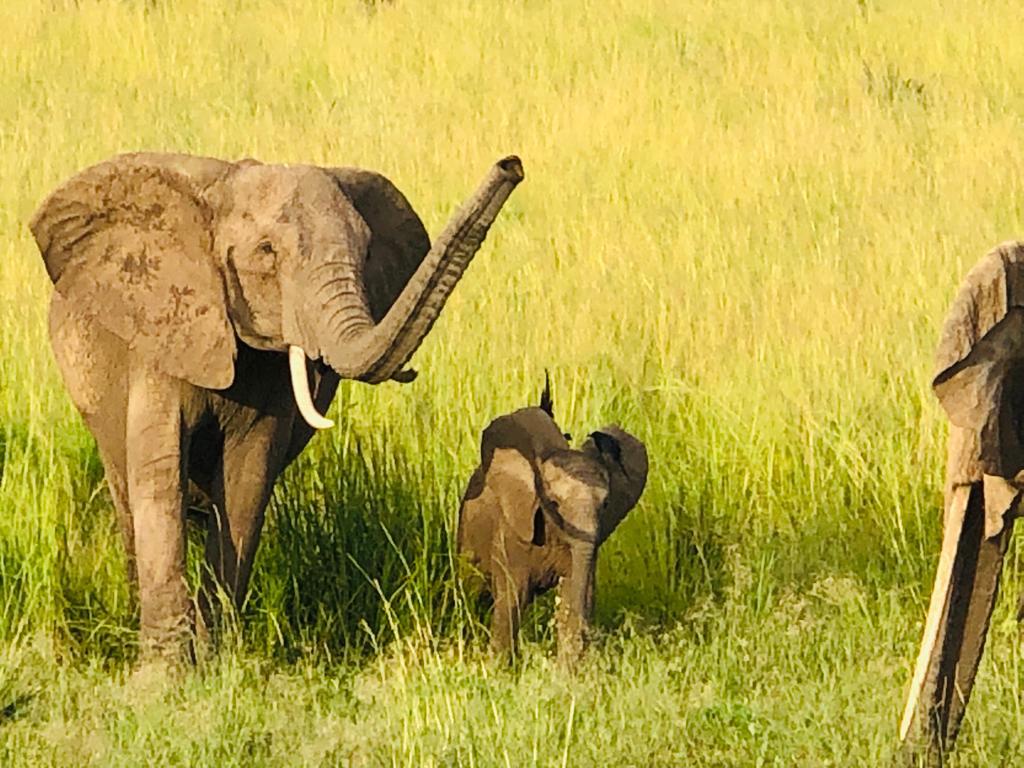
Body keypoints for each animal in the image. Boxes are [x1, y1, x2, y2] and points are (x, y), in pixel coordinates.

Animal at [29, 150, 524, 660]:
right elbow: (161, 472)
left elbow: (247, 479)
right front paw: (165, 668)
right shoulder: (163, 325)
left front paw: (217, 654)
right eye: (266, 251)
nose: (511, 165)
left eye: (367, 252)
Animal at [456, 377, 648, 662]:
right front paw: (498, 668)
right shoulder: (514, 532)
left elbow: (571, 593)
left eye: (605, 505)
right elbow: (513, 596)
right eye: (553, 504)